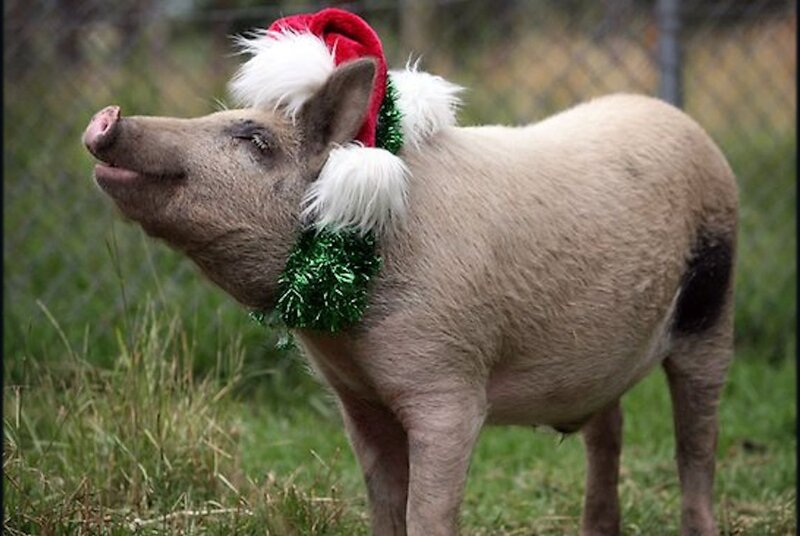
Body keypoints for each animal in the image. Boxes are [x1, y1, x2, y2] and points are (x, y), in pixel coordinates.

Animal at [84, 58, 737, 536]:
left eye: (255, 139)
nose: (108, 116)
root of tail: (681, 121)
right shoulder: (358, 401)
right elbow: (383, 503)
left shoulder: (450, 385)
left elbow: (428, 511)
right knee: (609, 432)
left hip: (713, 306)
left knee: (697, 446)